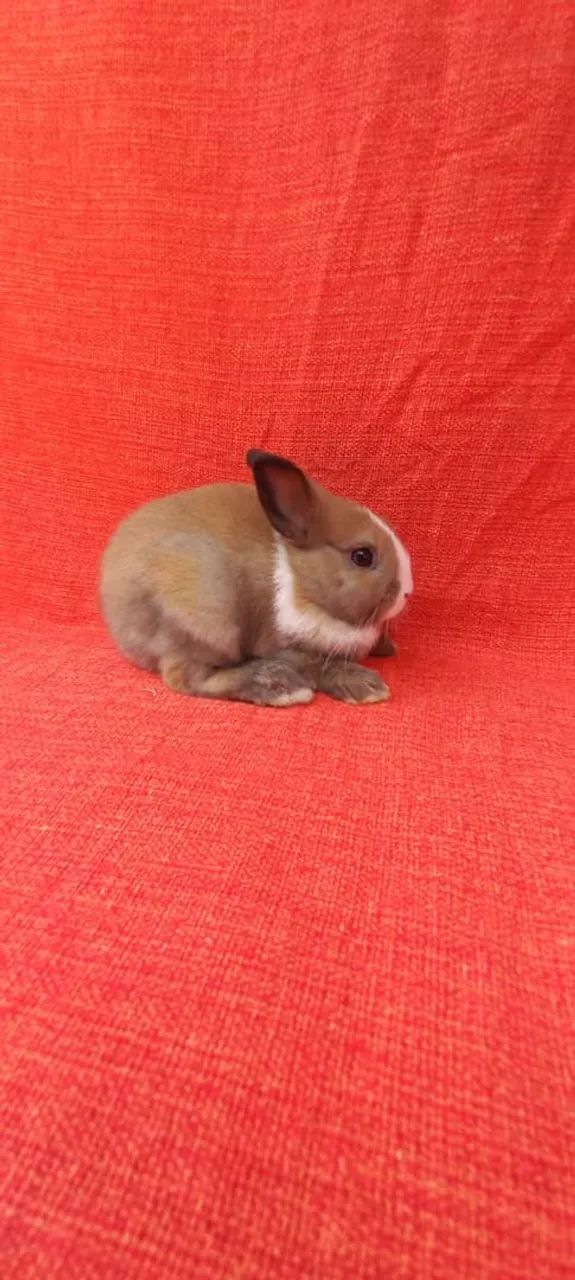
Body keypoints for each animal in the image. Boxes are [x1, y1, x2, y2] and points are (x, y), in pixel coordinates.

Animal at [100, 451, 413, 707]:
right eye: (362, 556)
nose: (407, 592)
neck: (302, 582)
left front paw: (387, 649)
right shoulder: (286, 646)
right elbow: (320, 665)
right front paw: (368, 687)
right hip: (208, 619)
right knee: (187, 677)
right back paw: (280, 687)